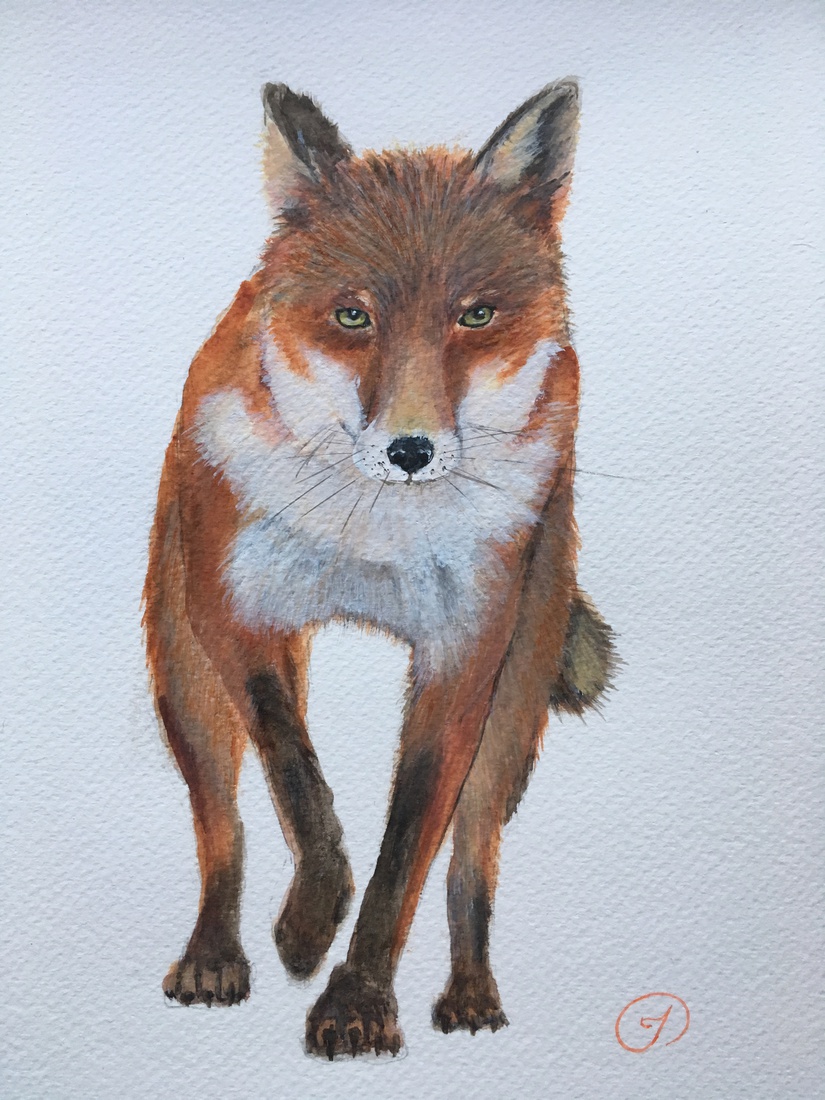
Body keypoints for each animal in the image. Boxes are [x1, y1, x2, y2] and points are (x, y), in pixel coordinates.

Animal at [143, 78, 615, 1059]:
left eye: (474, 315)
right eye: (352, 316)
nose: (409, 450)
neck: (370, 536)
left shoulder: (463, 658)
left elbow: (406, 856)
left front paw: (356, 999)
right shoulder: (236, 615)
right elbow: (297, 783)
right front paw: (306, 925)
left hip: (517, 700)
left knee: (471, 862)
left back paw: (471, 993)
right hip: (181, 668)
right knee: (223, 826)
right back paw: (214, 953)